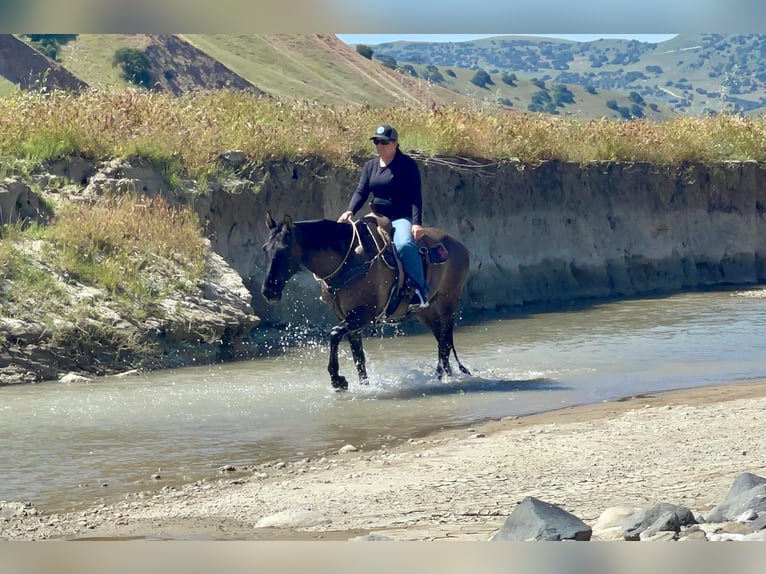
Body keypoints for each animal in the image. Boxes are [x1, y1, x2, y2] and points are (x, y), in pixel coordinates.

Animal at [260, 212, 472, 392]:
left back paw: (442, 378)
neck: (349, 261)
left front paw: (338, 380)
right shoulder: (350, 319)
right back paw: (444, 376)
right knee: (442, 341)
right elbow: (358, 358)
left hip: (448, 305)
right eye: (265, 249)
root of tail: (460, 246)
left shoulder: (364, 314)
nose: (268, 291)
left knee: (445, 343)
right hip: (425, 312)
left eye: (284, 250)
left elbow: (334, 334)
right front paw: (364, 386)